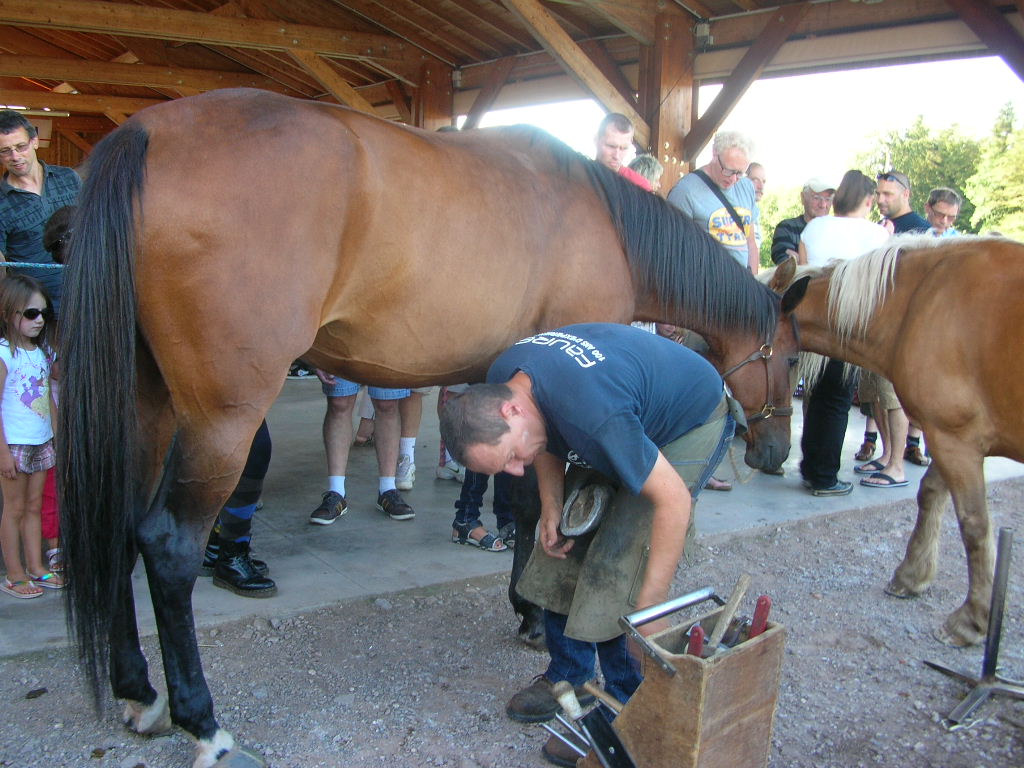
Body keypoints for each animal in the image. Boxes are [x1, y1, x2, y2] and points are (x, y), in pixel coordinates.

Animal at [57, 88, 798, 767]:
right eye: (793, 358)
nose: (773, 452)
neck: (602, 219)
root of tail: (148, 133)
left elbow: (522, 503)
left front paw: (525, 607)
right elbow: (533, 508)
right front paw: (535, 617)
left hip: (146, 405)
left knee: (117, 526)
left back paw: (138, 693)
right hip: (222, 420)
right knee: (169, 546)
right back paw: (202, 723)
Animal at [778, 235, 1024, 647]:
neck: (920, 301)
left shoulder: (956, 441)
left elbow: (974, 525)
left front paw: (972, 619)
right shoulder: (949, 439)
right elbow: (930, 495)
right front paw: (912, 575)